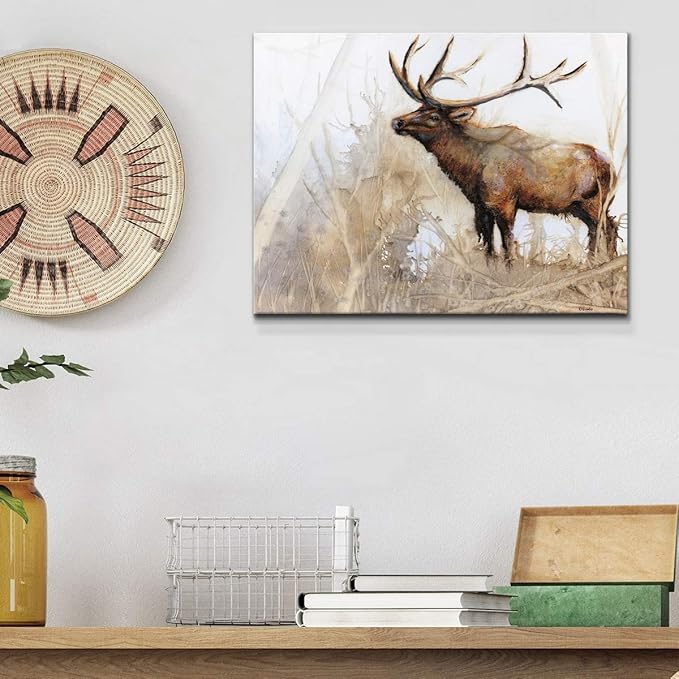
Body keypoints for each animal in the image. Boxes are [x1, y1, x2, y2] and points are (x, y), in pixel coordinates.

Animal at [389, 36, 618, 263]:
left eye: (434, 116)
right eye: (418, 108)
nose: (397, 122)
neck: (470, 169)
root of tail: (613, 169)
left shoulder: (504, 200)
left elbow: (508, 245)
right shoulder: (480, 205)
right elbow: (489, 247)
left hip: (595, 200)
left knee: (603, 228)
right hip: (579, 206)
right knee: (606, 227)